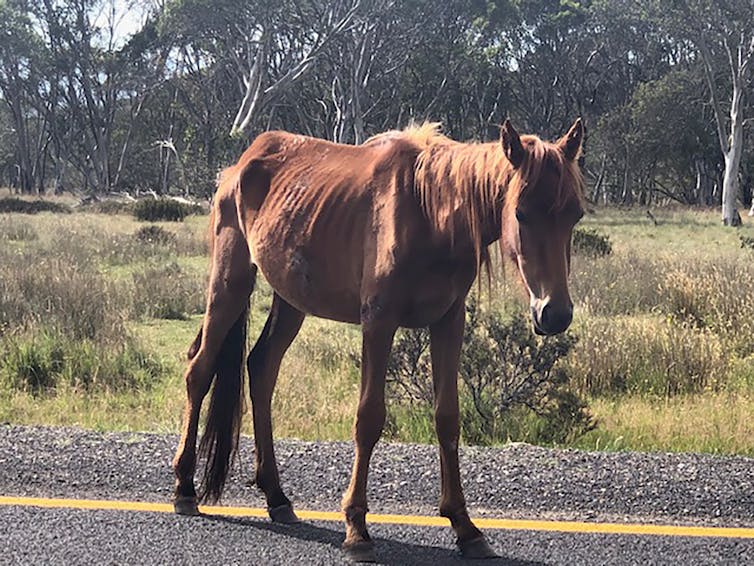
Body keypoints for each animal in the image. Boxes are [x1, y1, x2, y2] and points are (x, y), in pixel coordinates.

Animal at [173, 120, 584, 564]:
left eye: (575, 214)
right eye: (520, 212)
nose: (555, 313)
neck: (431, 212)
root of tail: (242, 163)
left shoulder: (448, 322)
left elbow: (447, 418)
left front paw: (464, 526)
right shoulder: (378, 321)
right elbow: (368, 418)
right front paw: (356, 526)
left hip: (291, 300)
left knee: (262, 368)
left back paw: (277, 496)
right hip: (230, 280)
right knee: (199, 370)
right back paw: (184, 487)